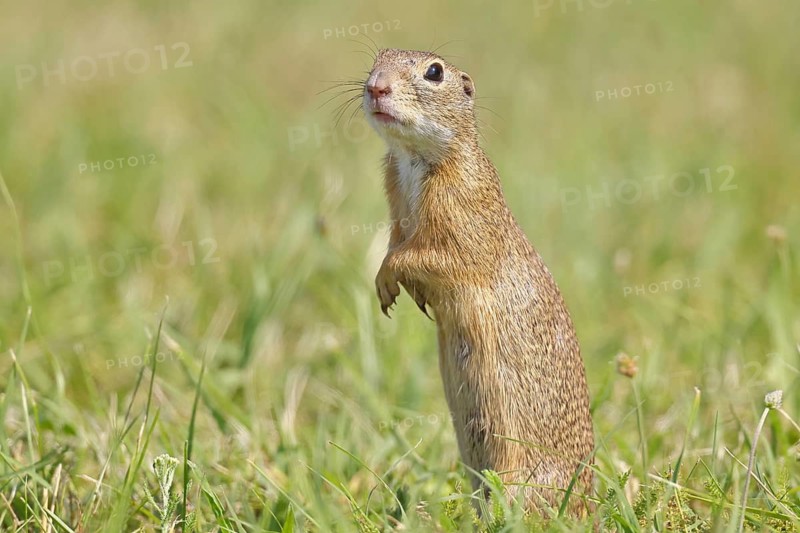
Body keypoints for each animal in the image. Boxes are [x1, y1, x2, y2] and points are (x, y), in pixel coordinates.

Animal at [361, 48, 595, 516]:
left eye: (435, 72)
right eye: (378, 57)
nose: (376, 86)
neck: (412, 162)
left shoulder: (462, 215)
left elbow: (425, 254)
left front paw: (390, 277)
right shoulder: (395, 206)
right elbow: (396, 241)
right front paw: (394, 291)